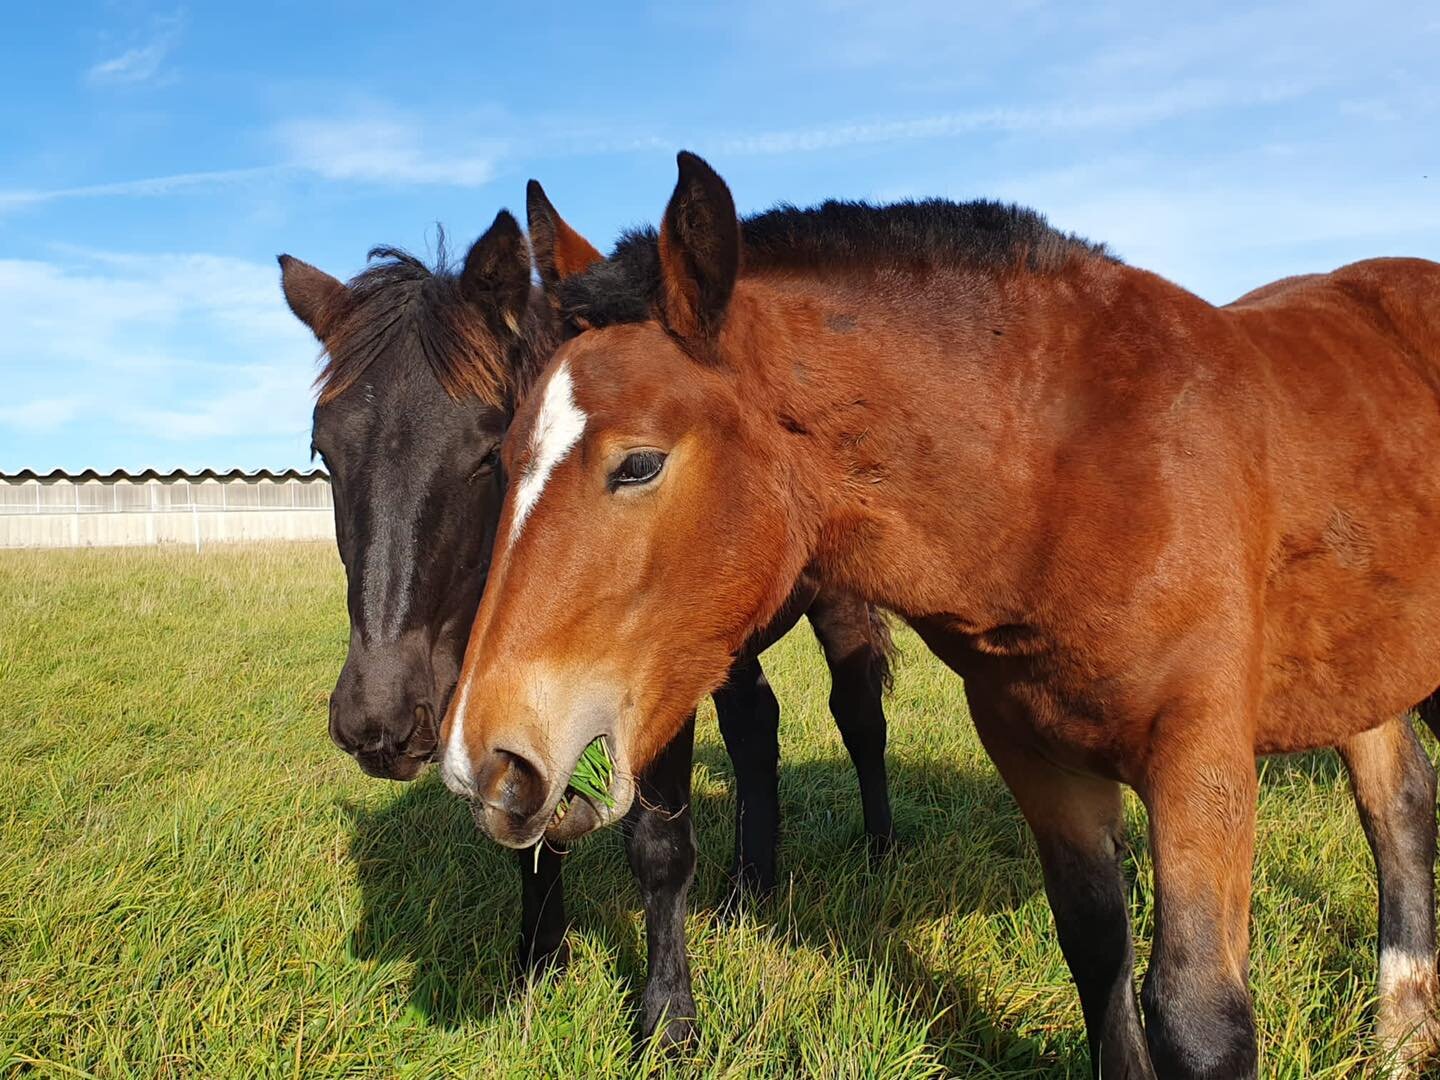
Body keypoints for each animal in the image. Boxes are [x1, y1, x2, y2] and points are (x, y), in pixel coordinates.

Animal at [275, 211, 892, 1048]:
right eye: (324, 452)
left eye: (486, 453)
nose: (378, 720)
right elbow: (524, 823)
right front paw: (538, 961)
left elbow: (658, 844)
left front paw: (668, 1018)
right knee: (755, 724)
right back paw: (748, 889)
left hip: (834, 608)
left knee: (858, 713)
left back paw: (879, 852)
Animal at [437, 154, 1440, 1080]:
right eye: (503, 460)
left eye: (638, 464)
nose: (487, 761)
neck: (1084, 460)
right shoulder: (1035, 752)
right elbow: (1099, 958)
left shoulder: (1200, 756)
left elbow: (1199, 1020)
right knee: (1398, 802)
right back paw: (1400, 1027)